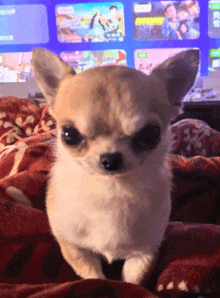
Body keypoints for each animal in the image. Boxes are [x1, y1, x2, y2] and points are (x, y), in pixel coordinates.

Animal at [31, 49, 199, 286]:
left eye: (150, 134)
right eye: (69, 135)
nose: (110, 159)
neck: (112, 189)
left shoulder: (144, 252)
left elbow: (133, 282)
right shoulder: (74, 247)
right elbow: (93, 275)